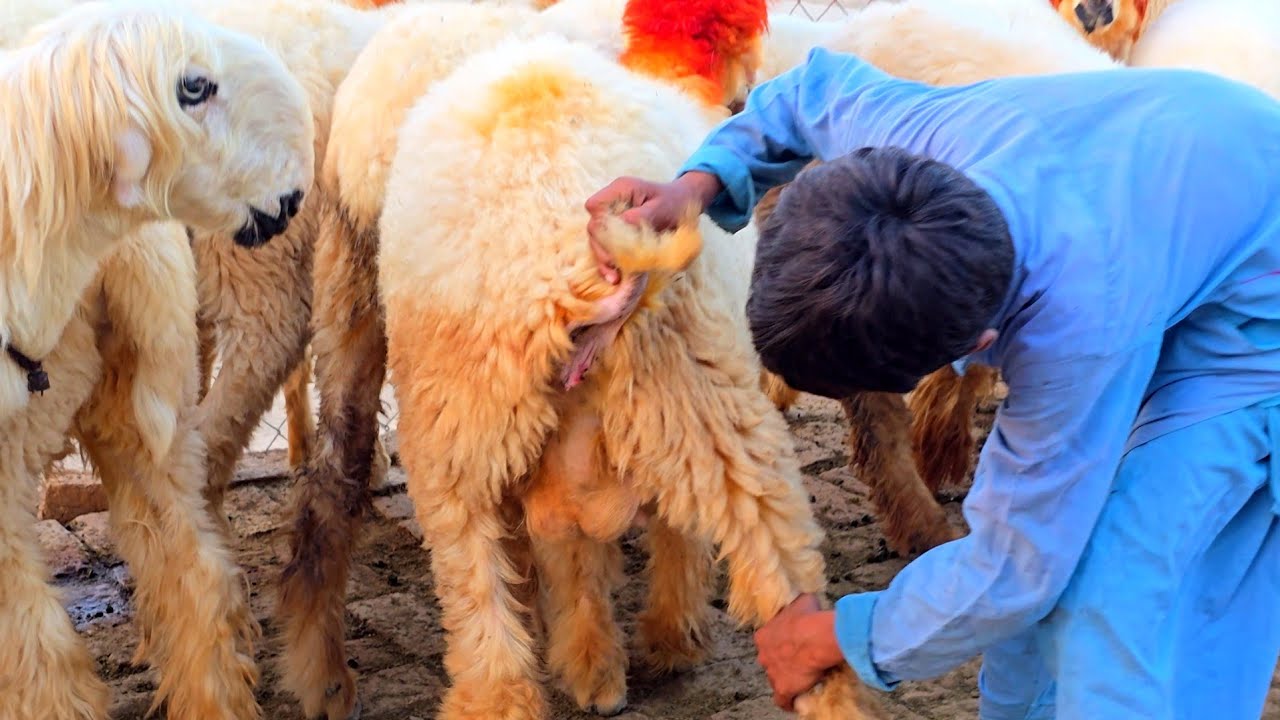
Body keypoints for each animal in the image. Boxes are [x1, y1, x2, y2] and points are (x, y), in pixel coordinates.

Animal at [375, 0, 885, 714]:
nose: (737, 103)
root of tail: (570, 268)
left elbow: (602, 549)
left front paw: (621, 657)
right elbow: (619, 546)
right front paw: (615, 661)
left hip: (467, 423)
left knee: (473, 578)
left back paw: (499, 694)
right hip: (685, 390)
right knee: (776, 562)